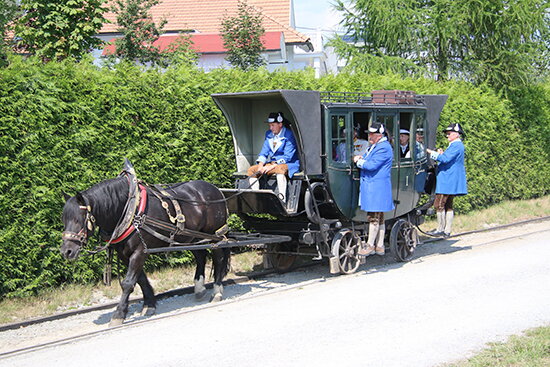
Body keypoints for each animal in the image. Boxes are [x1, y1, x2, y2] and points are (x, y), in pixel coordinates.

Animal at [61, 171, 231, 326]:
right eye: (64, 219)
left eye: (78, 219)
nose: (66, 251)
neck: (131, 211)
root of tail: (216, 189)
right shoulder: (125, 254)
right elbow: (140, 279)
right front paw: (149, 305)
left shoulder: (139, 251)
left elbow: (128, 283)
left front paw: (118, 314)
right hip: (192, 237)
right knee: (201, 256)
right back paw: (200, 288)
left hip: (214, 235)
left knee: (218, 258)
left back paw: (217, 291)